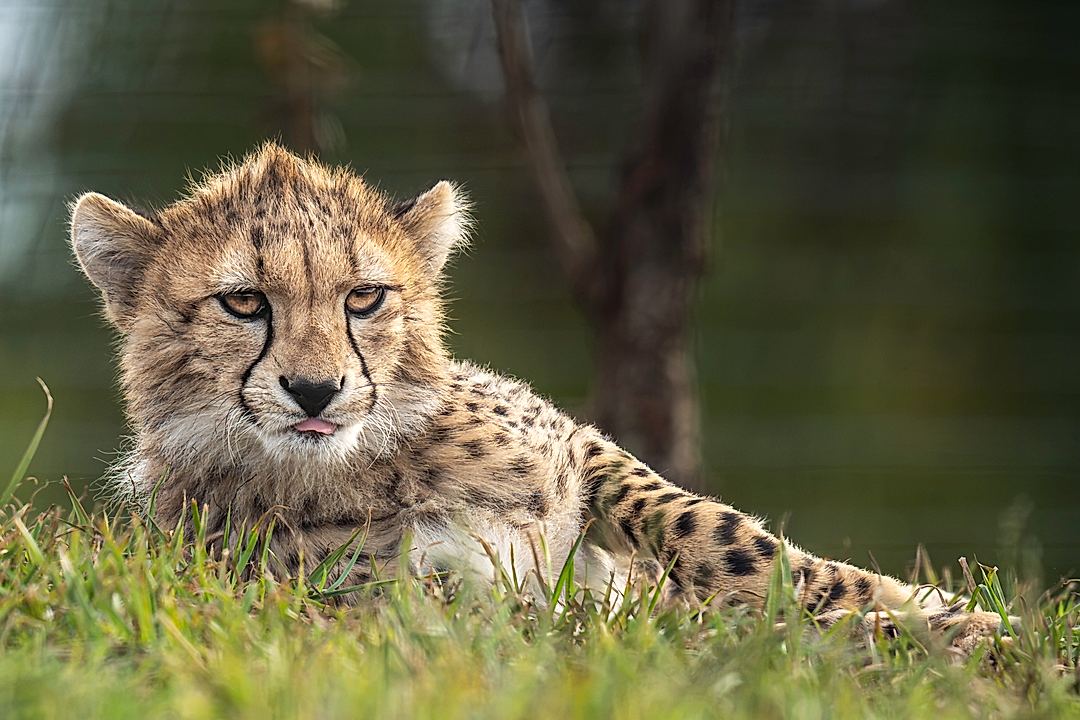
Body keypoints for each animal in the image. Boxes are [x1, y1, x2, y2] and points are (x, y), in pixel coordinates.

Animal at [70, 142, 1010, 655]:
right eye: (243, 303)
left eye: (364, 297)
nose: (315, 387)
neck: (375, 462)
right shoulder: (419, 616)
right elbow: (624, 632)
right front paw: (876, 642)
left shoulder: (580, 448)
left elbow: (725, 537)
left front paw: (947, 621)